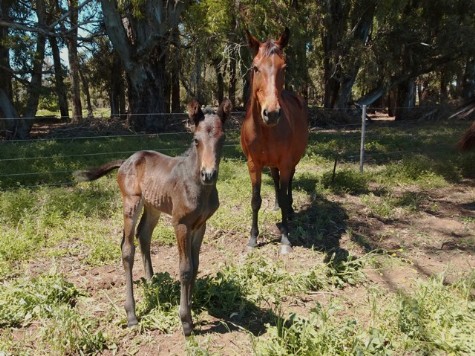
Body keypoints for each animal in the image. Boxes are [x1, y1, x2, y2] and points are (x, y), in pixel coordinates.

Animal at [242, 28, 308, 256]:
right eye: (255, 67)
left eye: (284, 68)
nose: (271, 113)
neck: (266, 131)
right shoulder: (253, 164)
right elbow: (255, 200)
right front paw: (253, 239)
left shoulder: (286, 163)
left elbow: (285, 191)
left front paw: (285, 239)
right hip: (271, 165)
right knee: (277, 181)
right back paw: (278, 206)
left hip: (293, 161)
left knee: (287, 186)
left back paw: (289, 209)